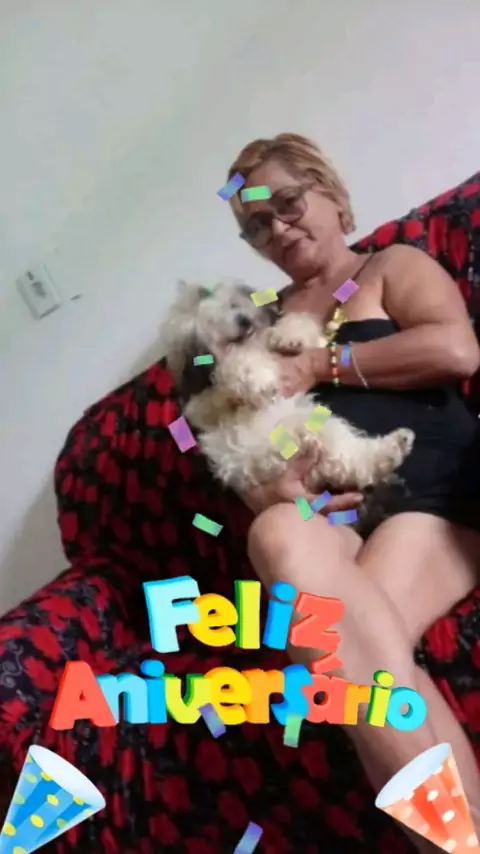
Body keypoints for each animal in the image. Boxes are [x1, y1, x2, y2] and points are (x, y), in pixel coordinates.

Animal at [161, 281, 414, 531]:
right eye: (213, 321)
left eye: (234, 305)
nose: (243, 319)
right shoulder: (207, 402)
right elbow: (233, 367)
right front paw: (260, 380)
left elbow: (297, 325)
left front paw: (290, 337)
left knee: (353, 460)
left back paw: (395, 446)